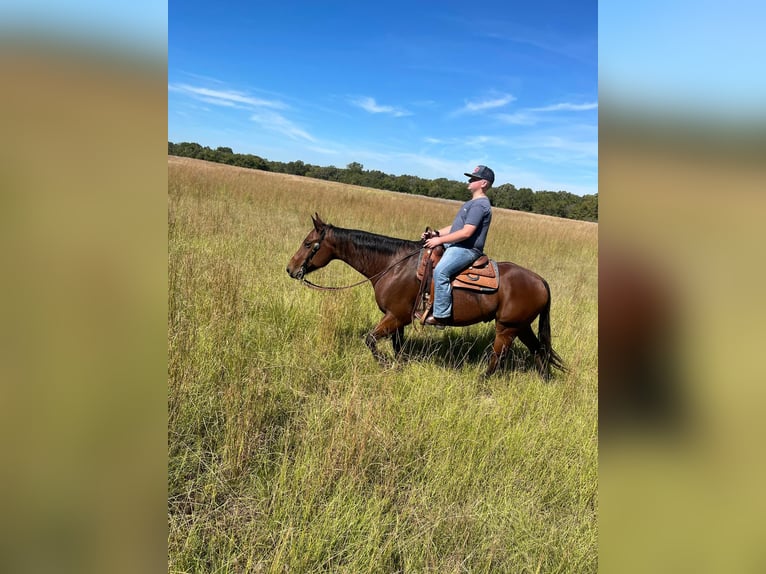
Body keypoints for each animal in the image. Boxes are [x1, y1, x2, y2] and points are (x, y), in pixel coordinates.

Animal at [284, 214, 568, 380]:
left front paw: (385, 365)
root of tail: (540, 281)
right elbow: (398, 348)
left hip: (507, 328)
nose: (290, 269)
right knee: (539, 351)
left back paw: (481, 384)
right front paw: (397, 367)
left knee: (498, 358)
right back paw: (544, 382)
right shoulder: (397, 320)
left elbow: (370, 341)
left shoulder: (396, 316)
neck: (393, 264)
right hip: (521, 326)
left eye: (308, 244)